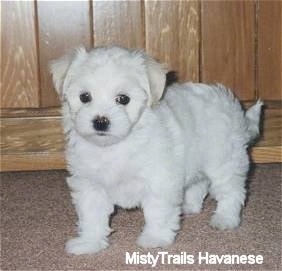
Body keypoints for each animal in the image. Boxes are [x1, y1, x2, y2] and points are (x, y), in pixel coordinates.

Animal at [49, 45, 264, 256]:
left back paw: (225, 218)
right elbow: (92, 214)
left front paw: (155, 238)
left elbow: (157, 211)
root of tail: (231, 104)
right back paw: (189, 206)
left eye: (123, 99)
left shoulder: (159, 180)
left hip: (223, 159)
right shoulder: (90, 184)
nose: (100, 121)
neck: (115, 146)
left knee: (231, 190)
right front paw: (89, 242)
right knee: (199, 184)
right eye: (84, 97)